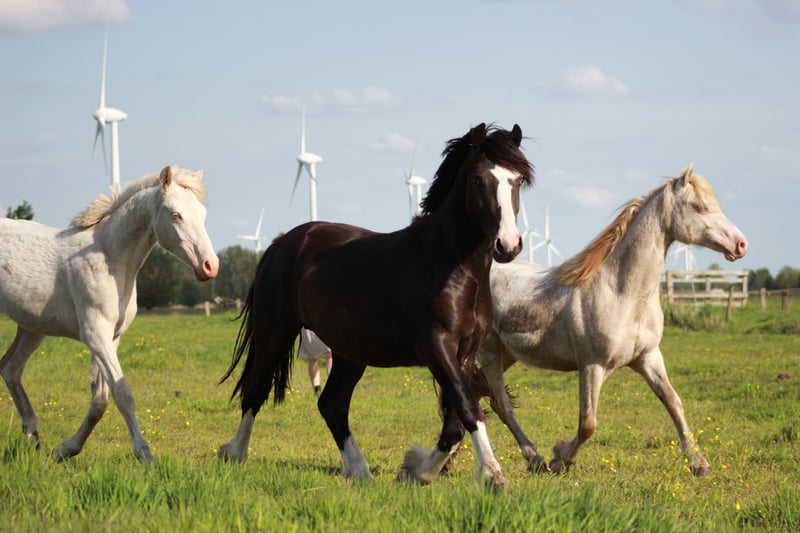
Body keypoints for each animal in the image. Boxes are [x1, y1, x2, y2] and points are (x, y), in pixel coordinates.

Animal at [0, 166, 219, 463]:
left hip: (32, 327)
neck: (109, 259)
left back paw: (32, 434)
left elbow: (100, 400)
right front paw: (145, 455)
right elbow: (122, 394)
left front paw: (65, 450)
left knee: (10, 368)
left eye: (203, 214)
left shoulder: (111, 338)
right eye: (176, 215)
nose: (210, 266)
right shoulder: (96, 335)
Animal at [219, 123, 534, 489]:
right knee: (256, 390)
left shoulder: (465, 353)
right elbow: (469, 409)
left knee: (332, 404)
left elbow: (455, 423)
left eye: (517, 180)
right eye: (478, 180)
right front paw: (493, 477)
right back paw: (234, 452)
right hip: (276, 332)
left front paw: (418, 472)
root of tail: (282, 242)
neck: (449, 266)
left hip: (349, 351)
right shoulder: (436, 347)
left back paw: (360, 470)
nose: (508, 245)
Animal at [473, 164, 747, 477]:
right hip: (489, 352)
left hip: (507, 355)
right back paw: (533, 458)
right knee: (500, 404)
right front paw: (560, 458)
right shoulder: (592, 366)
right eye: (699, 207)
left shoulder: (648, 357)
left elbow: (674, 403)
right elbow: (588, 423)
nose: (741, 244)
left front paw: (699, 464)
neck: (622, 293)